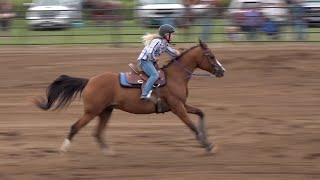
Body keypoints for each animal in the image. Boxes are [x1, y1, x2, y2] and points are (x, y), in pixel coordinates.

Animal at [33, 41, 225, 155]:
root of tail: (90, 81)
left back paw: (108, 152)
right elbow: (192, 126)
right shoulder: (177, 107)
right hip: (92, 111)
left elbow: (201, 113)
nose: (222, 71)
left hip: (106, 111)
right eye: (211, 56)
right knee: (75, 127)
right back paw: (63, 149)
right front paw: (207, 145)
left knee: (98, 132)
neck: (174, 77)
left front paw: (207, 141)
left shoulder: (182, 104)